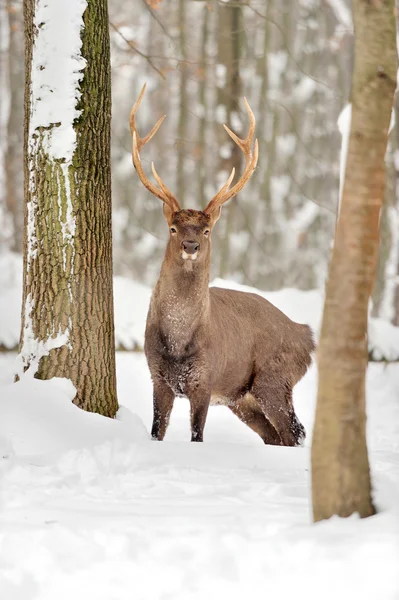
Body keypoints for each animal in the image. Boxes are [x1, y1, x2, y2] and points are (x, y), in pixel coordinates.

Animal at [130, 82, 316, 442]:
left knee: (293, 433)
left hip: (274, 379)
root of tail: (307, 337)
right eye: (173, 227)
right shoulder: (157, 376)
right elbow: (156, 431)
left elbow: (197, 435)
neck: (179, 343)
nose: (190, 245)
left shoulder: (205, 379)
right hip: (242, 398)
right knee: (276, 436)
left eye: (206, 229)